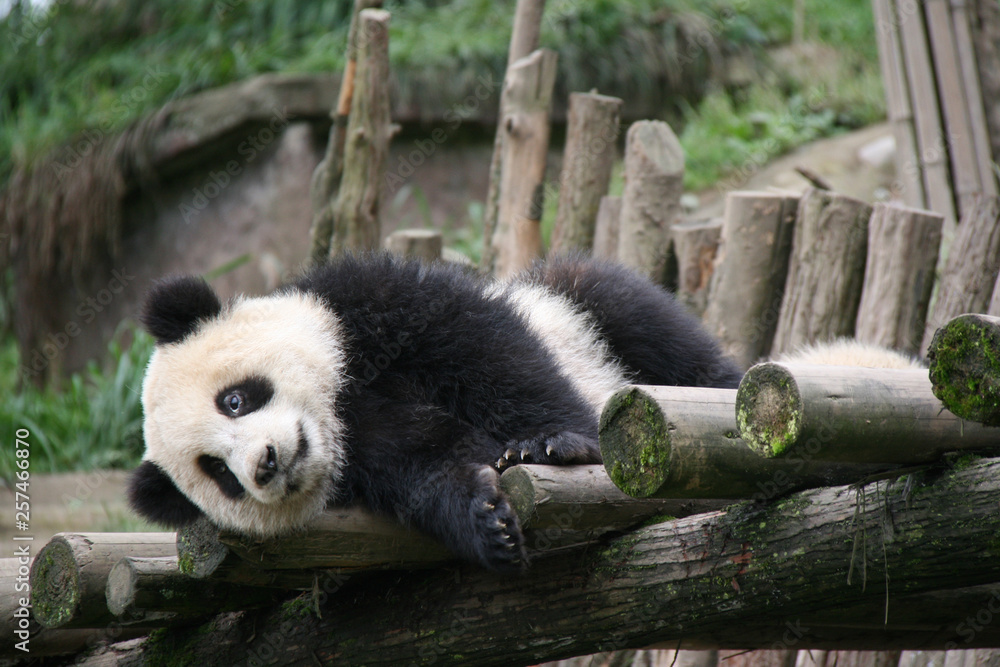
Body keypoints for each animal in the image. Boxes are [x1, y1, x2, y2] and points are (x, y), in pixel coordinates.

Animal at [129, 252, 742, 572]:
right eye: (219, 472)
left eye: (233, 400)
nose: (266, 464)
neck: (338, 413)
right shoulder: (371, 461)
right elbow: (426, 471)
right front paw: (488, 522)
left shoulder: (365, 306)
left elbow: (483, 349)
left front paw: (554, 441)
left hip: (578, 313)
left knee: (643, 325)